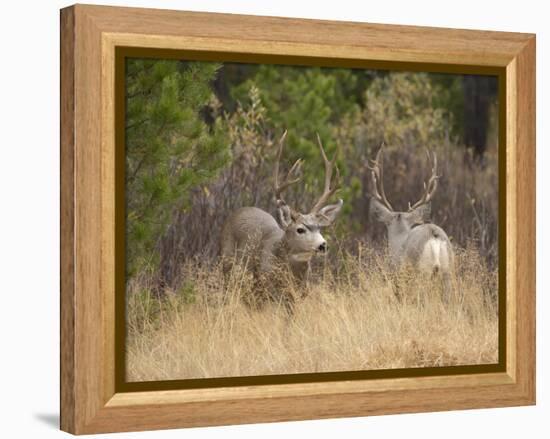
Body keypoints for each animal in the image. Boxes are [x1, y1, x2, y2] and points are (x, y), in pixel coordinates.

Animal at [221, 131, 342, 312]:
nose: (323, 245)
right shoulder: (266, 290)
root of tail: (238, 211)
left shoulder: (296, 298)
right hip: (228, 265)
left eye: (319, 228)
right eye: (300, 229)